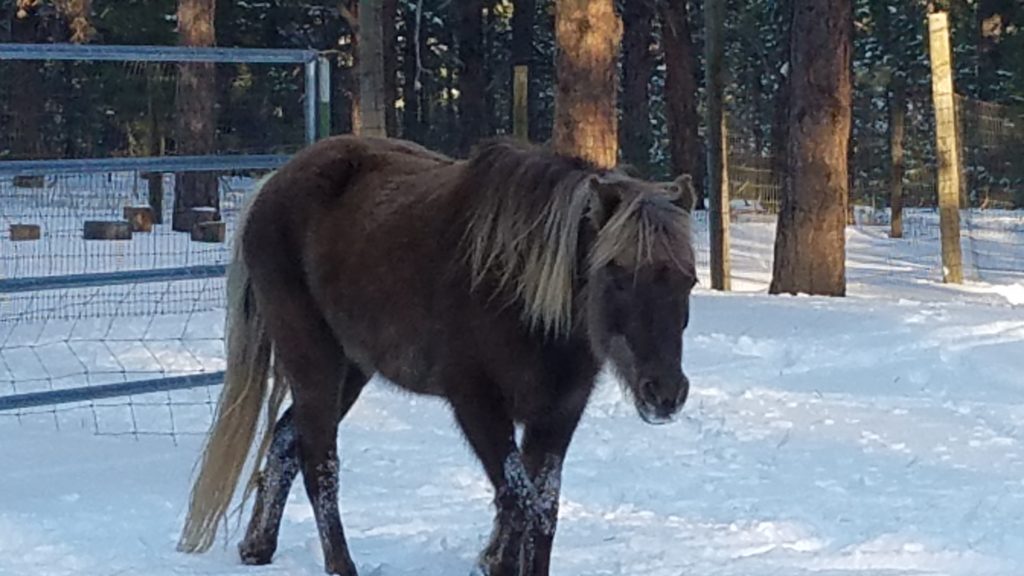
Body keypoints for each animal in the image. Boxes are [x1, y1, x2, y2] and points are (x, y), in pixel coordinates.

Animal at [180, 135, 700, 573]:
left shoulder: (557, 413)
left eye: (688, 280)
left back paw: (257, 547)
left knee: (288, 439)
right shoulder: (477, 404)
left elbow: (543, 509)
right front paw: (497, 563)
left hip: (351, 368)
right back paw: (339, 565)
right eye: (616, 273)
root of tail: (273, 183)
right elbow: (519, 502)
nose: (665, 393)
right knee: (320, 464)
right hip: (313, 359)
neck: (522, 296)